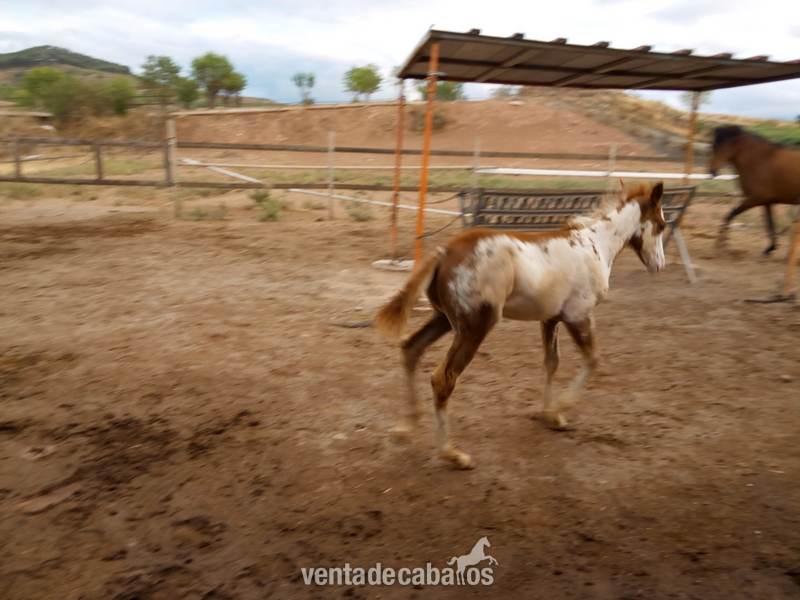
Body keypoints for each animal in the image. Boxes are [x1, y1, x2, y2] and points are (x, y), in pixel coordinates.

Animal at [374, 181, 666, 470]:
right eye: (662, 225)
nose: (659, 265)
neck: (594, 245)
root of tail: (446, 250)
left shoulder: (550, 319)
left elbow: (551, 362)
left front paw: (549, 414)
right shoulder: (578, 316)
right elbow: (593, 359)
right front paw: (560, 408)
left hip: (443, 319)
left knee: (411, 348)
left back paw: (405, 426)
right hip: (474, 327)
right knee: (443, 379)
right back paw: (452, 454)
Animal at [710, 125, 800, 254]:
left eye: (721, 147)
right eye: (712, 146)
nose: (712, 171)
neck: (759, 159)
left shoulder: (754, 200)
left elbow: (730, 214)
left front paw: (720, 243)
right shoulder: (767, 202)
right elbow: (770, 223)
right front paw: (770, 248)